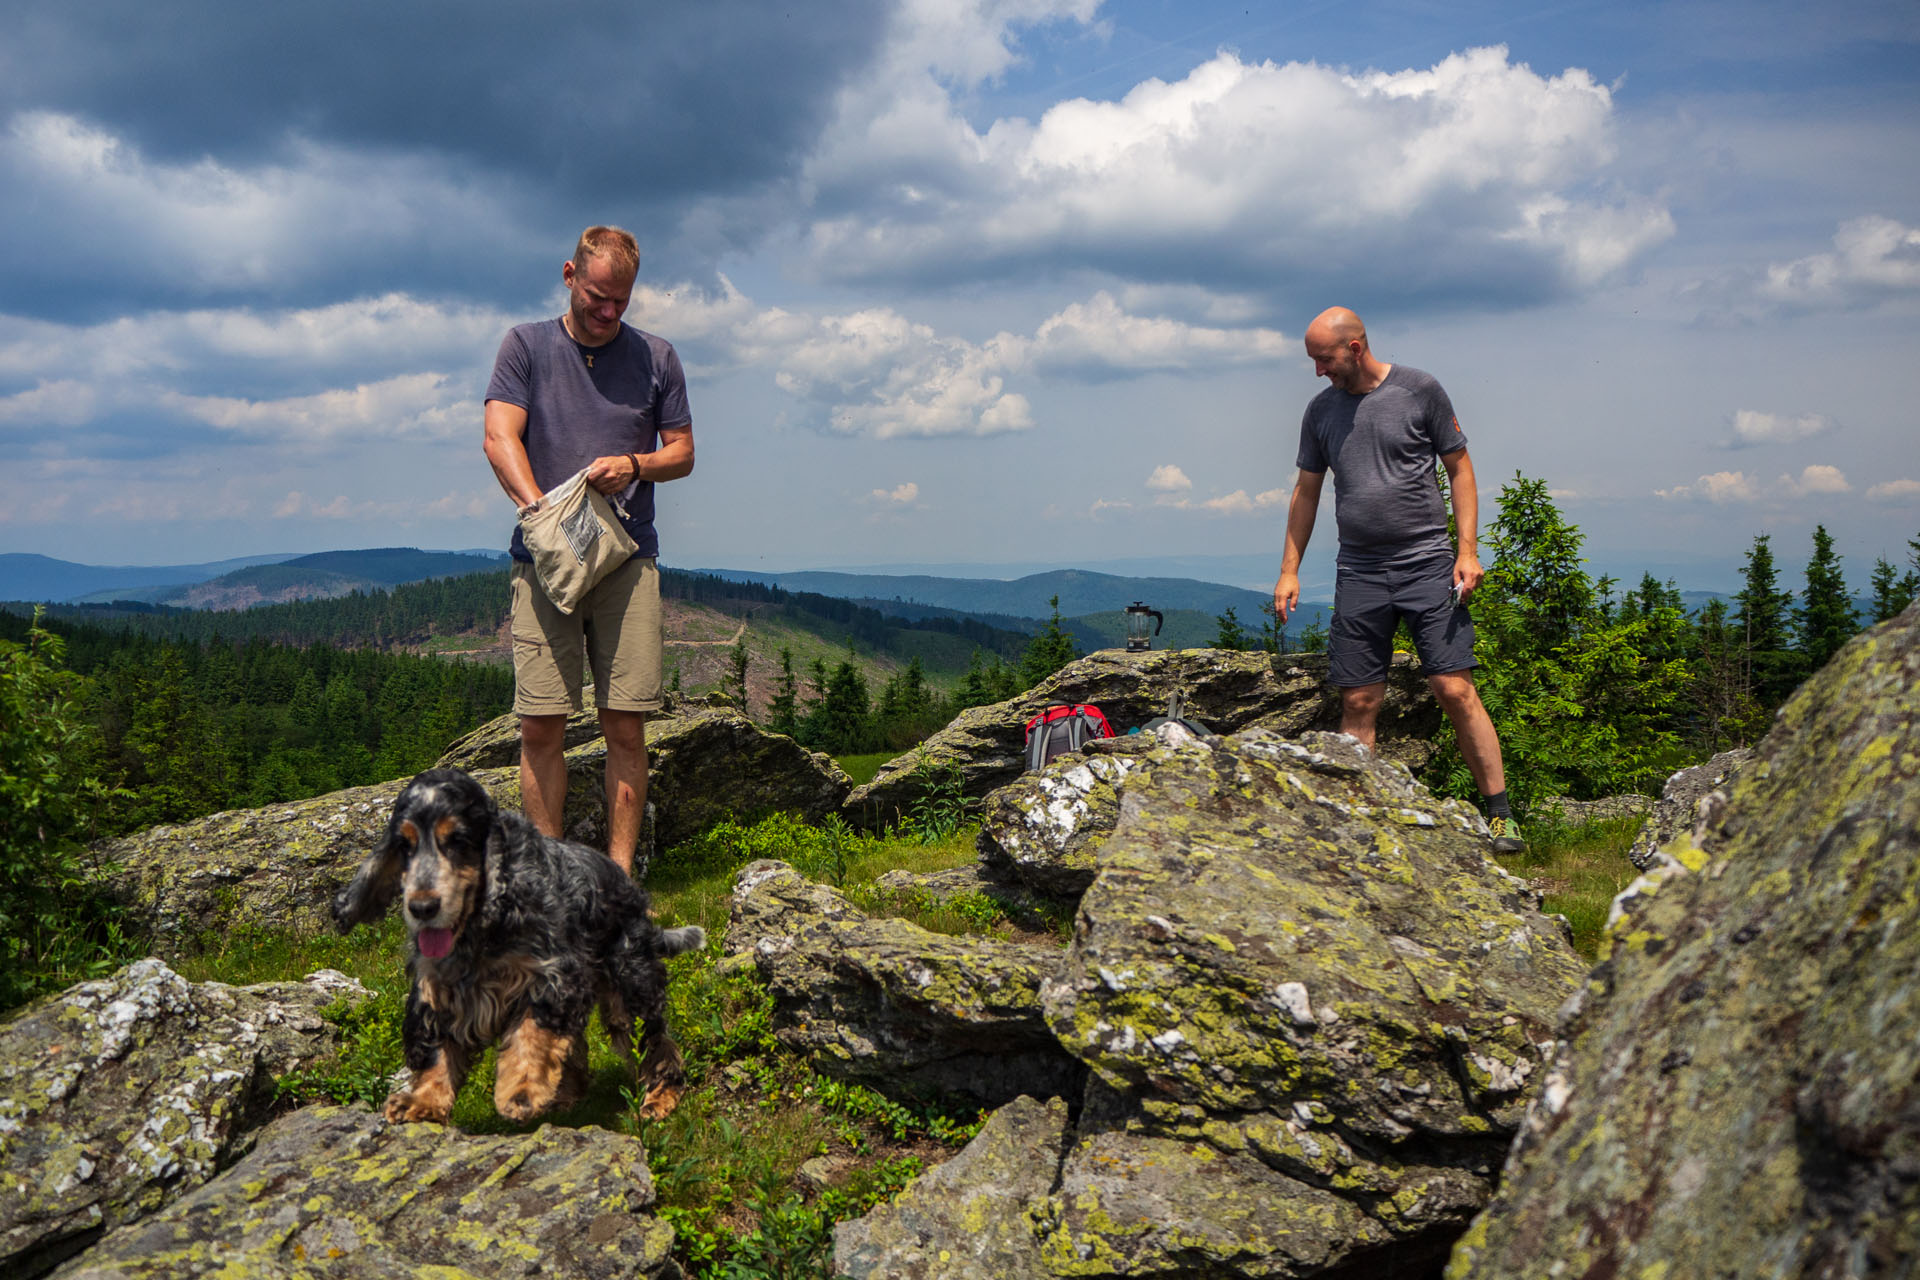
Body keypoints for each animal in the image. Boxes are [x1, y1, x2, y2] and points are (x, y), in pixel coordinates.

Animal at [330, 767, 706, 1128]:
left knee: (656, 1042)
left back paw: (660, 1096)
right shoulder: (436, 989)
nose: (422, 908)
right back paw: (566, 1095)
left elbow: (531, 1034)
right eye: (404, 845)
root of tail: (631, 887)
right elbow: (437, 1051)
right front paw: (422, 1102)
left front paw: (521, 1092)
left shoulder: (553, 978)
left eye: (458, 840)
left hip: (631, 980)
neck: (478, 931)